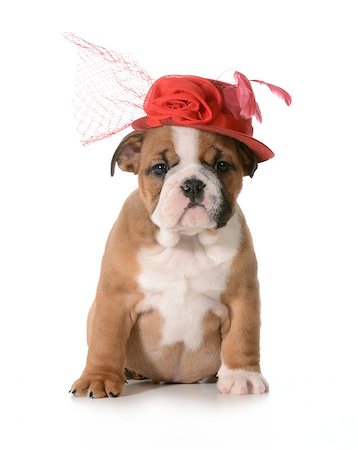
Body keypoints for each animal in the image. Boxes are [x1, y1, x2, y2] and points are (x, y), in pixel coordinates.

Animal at [69, 125, 268, 396]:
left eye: (222, 165)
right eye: (160, 168)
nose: (193, 184)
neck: (186, 240)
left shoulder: (241, 297)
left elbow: (243, 336)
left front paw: (242, 376)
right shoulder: (115, 298)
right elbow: (105, 339)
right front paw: (98, 378)